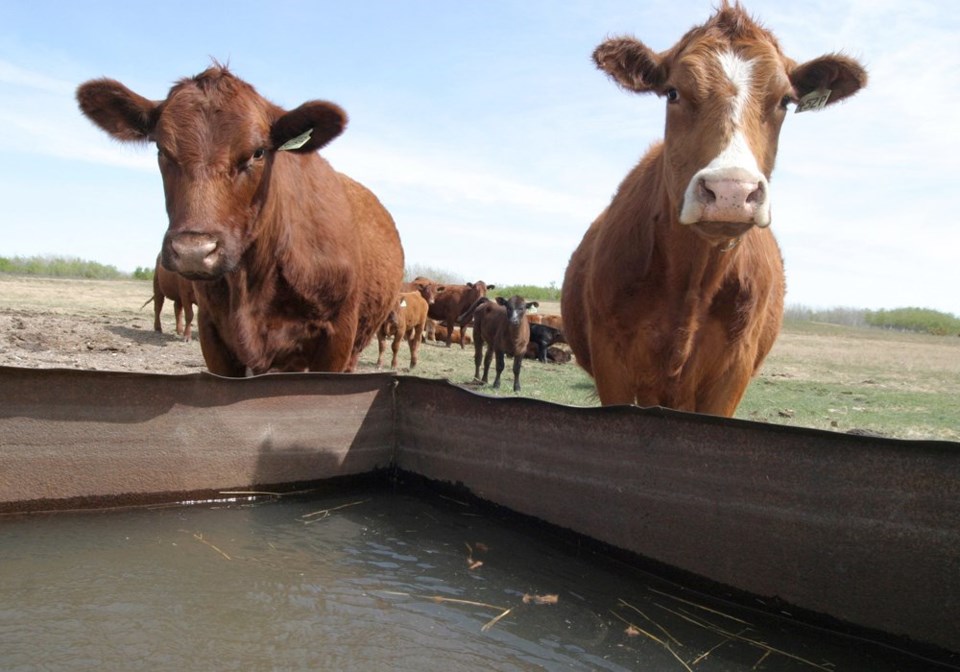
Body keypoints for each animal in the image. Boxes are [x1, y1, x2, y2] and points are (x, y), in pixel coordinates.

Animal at [560, 2, 868, 418]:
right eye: (672, 92)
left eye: (785, 101)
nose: (731, 191)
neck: (692, 282)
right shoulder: (612, 362)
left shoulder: (732, 372)